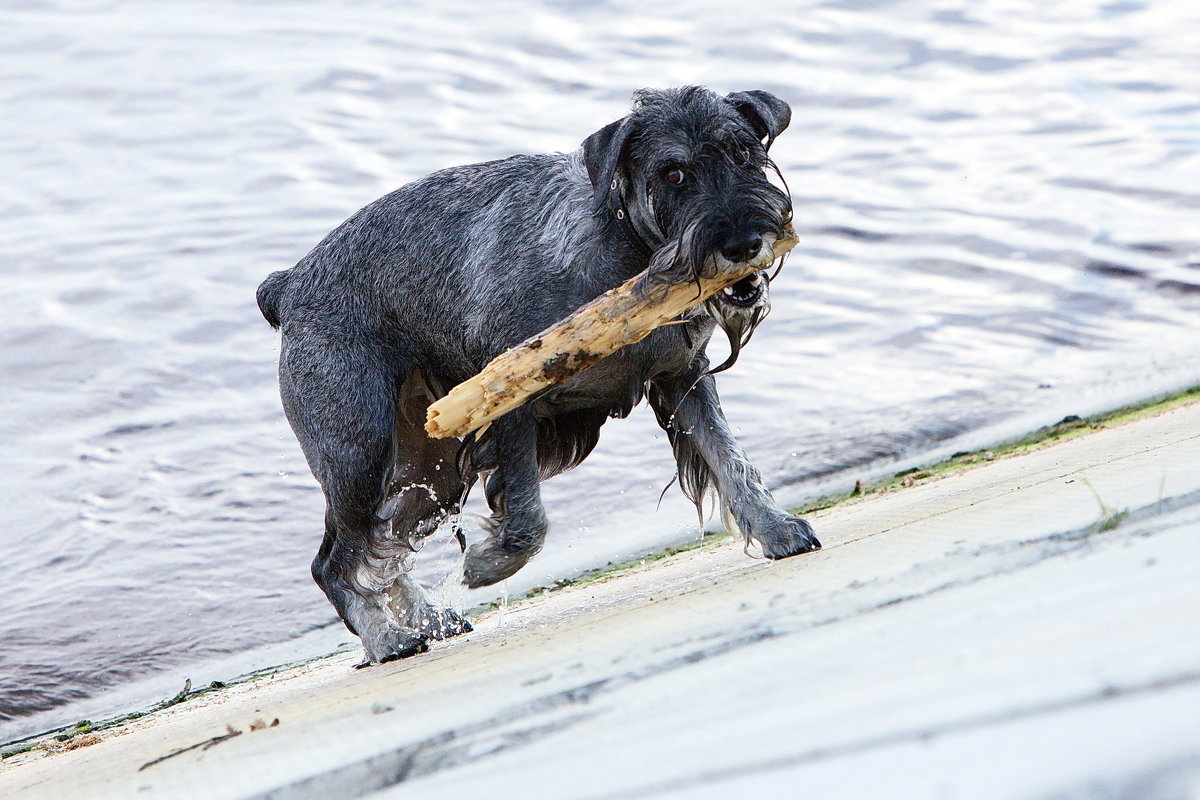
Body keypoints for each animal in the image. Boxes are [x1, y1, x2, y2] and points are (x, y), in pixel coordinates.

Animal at [260, 86, 825, 662]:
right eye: (673, 173)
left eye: (743, 152)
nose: (743, 243)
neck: (627, 254)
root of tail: (288, 285)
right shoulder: (511, 402)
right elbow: (529, 520)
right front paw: (485, 565)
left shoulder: (682, 379)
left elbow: (730, 459)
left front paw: (777, 529)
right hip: (361, 455)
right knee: (336, 561)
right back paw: (387, 638)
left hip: (431, 466)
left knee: (385, 543)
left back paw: (428, 622)